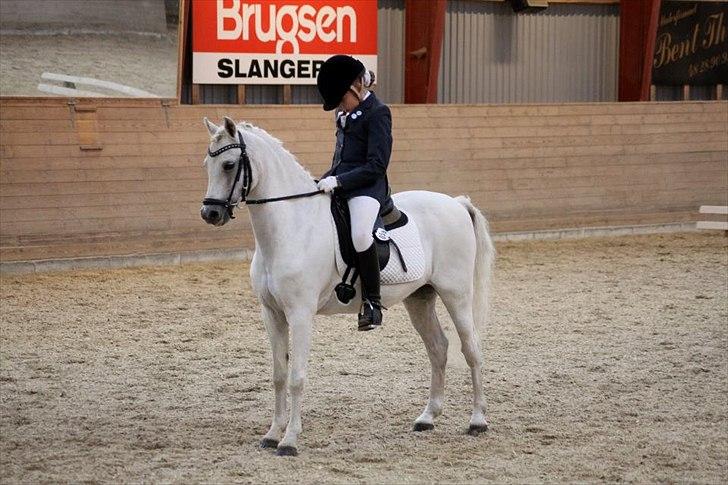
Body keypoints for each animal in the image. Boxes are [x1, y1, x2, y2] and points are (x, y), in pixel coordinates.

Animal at [200, 116, 496, 457]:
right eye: (207, 164)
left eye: (229, 164)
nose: (210, 213)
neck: (292, 226)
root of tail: (457, 204)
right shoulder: (271, 313)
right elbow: (278, 375)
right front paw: (272, 434)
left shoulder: (300, 314)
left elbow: (297, 377)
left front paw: (290, 440)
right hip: (420, 298)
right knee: (438, 348)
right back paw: (427, 417)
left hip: (456, 294)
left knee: (471, 349)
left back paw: (477, 421)